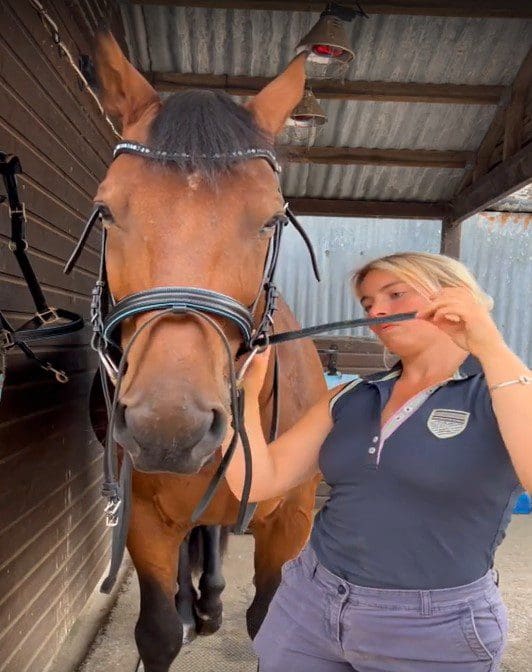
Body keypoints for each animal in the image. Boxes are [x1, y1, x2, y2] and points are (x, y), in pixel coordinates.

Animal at [90, 32, 324, 672]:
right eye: (106, 209)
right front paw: (182, 615)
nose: (169, 427)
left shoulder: (291, 522)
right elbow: (157, 632)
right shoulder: (145, 520)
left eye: (271, 218)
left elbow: (270, 622)